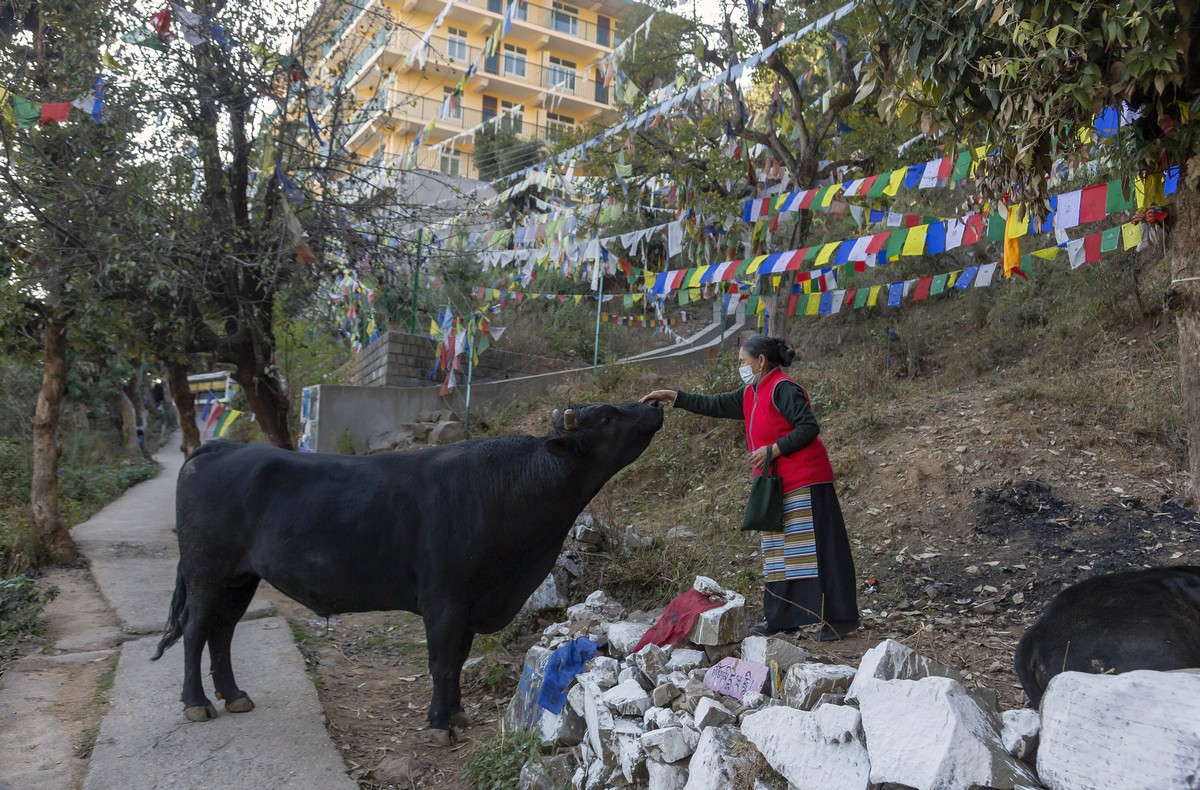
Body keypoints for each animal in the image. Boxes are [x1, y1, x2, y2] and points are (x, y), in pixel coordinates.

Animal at [152, 401, 667, 739]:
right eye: (607, 418)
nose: (655, 405)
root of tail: (220, 447)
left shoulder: (471, 603)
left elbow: (457, 661)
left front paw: (456, 714)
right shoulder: (444, 599)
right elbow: (441, 662)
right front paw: (439, 724)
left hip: (239, 578)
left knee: (222, 632)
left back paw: (234, 695)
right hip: (206, 572)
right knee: (197, 630)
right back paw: (197, 703)